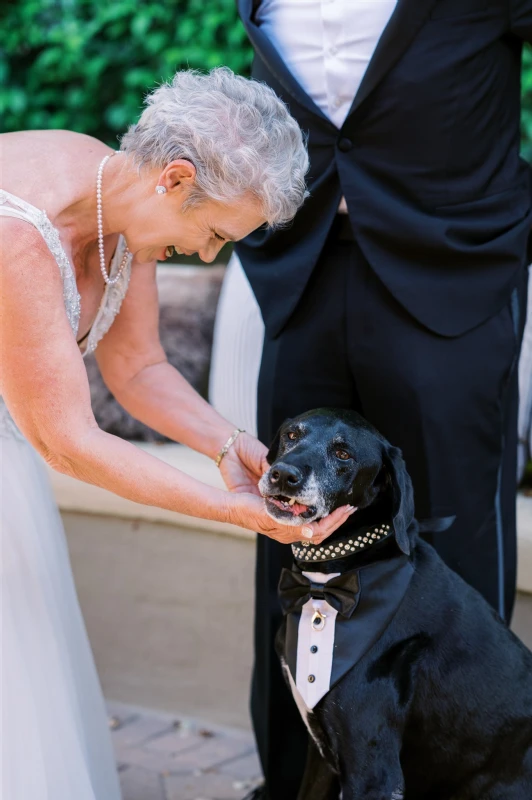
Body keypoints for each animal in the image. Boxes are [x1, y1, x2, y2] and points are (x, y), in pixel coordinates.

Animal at [260, 412, 532, 800]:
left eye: (343, 454)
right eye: (292, 435)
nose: (283, 474)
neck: (326, 585)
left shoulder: (373, 772)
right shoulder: (320, 756)